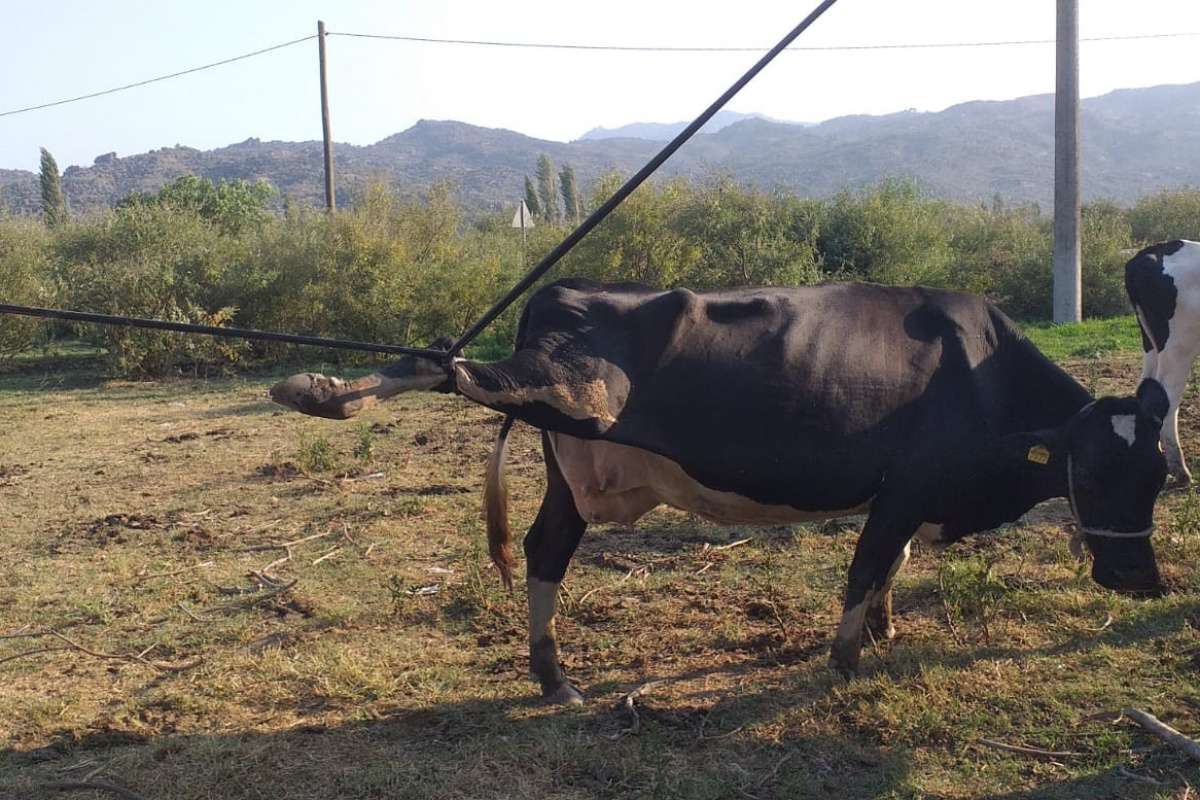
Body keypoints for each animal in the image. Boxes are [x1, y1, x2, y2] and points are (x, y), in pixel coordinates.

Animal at [272, 278, 1171, 705]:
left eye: (1161, 476)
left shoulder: (907, 494)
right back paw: (318, 388)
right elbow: (868, 564)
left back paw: (554, 676)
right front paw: (846, 658)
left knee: (542, 549)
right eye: (1093, 471)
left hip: (571, 469)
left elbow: (893, 564)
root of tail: (561, 290)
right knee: (456, 371)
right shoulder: (906, 486)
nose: (1139, 579)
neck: (982, 371)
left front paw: (884, 629)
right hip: (576, 390)